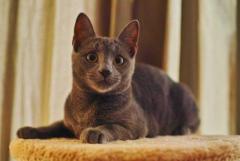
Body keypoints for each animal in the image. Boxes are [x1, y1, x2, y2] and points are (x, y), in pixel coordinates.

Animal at [17, 12, 200, 143]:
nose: (105, 70)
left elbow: (112, 126)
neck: (87, 105)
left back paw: (180, 130)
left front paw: (95, 131)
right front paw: (30, 129)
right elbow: (54, 124)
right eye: (91, 57)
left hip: (184, 95)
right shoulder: (68, 124)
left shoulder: (137, 126)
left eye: (119, 60)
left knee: (193, 123)